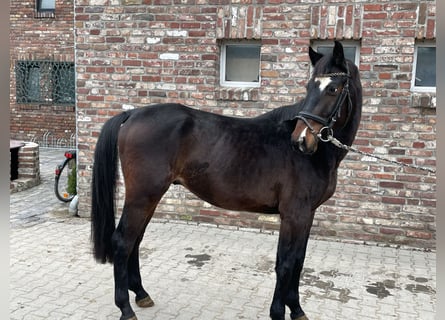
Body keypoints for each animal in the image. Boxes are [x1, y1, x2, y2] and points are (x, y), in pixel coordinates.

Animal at [90, 40, 360, 320]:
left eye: (332, 88)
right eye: (309, 87)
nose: (301, 140)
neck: (317, 155)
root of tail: (132, 114)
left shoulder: (308, 214)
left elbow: (299, 261)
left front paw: (296, 310)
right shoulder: (294, 214)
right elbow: (285, 264)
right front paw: (279, 312)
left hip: (149, 198)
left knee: (136, 240)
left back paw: (141, 294)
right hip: (142, 196)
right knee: (123, 242)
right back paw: (125, 307)